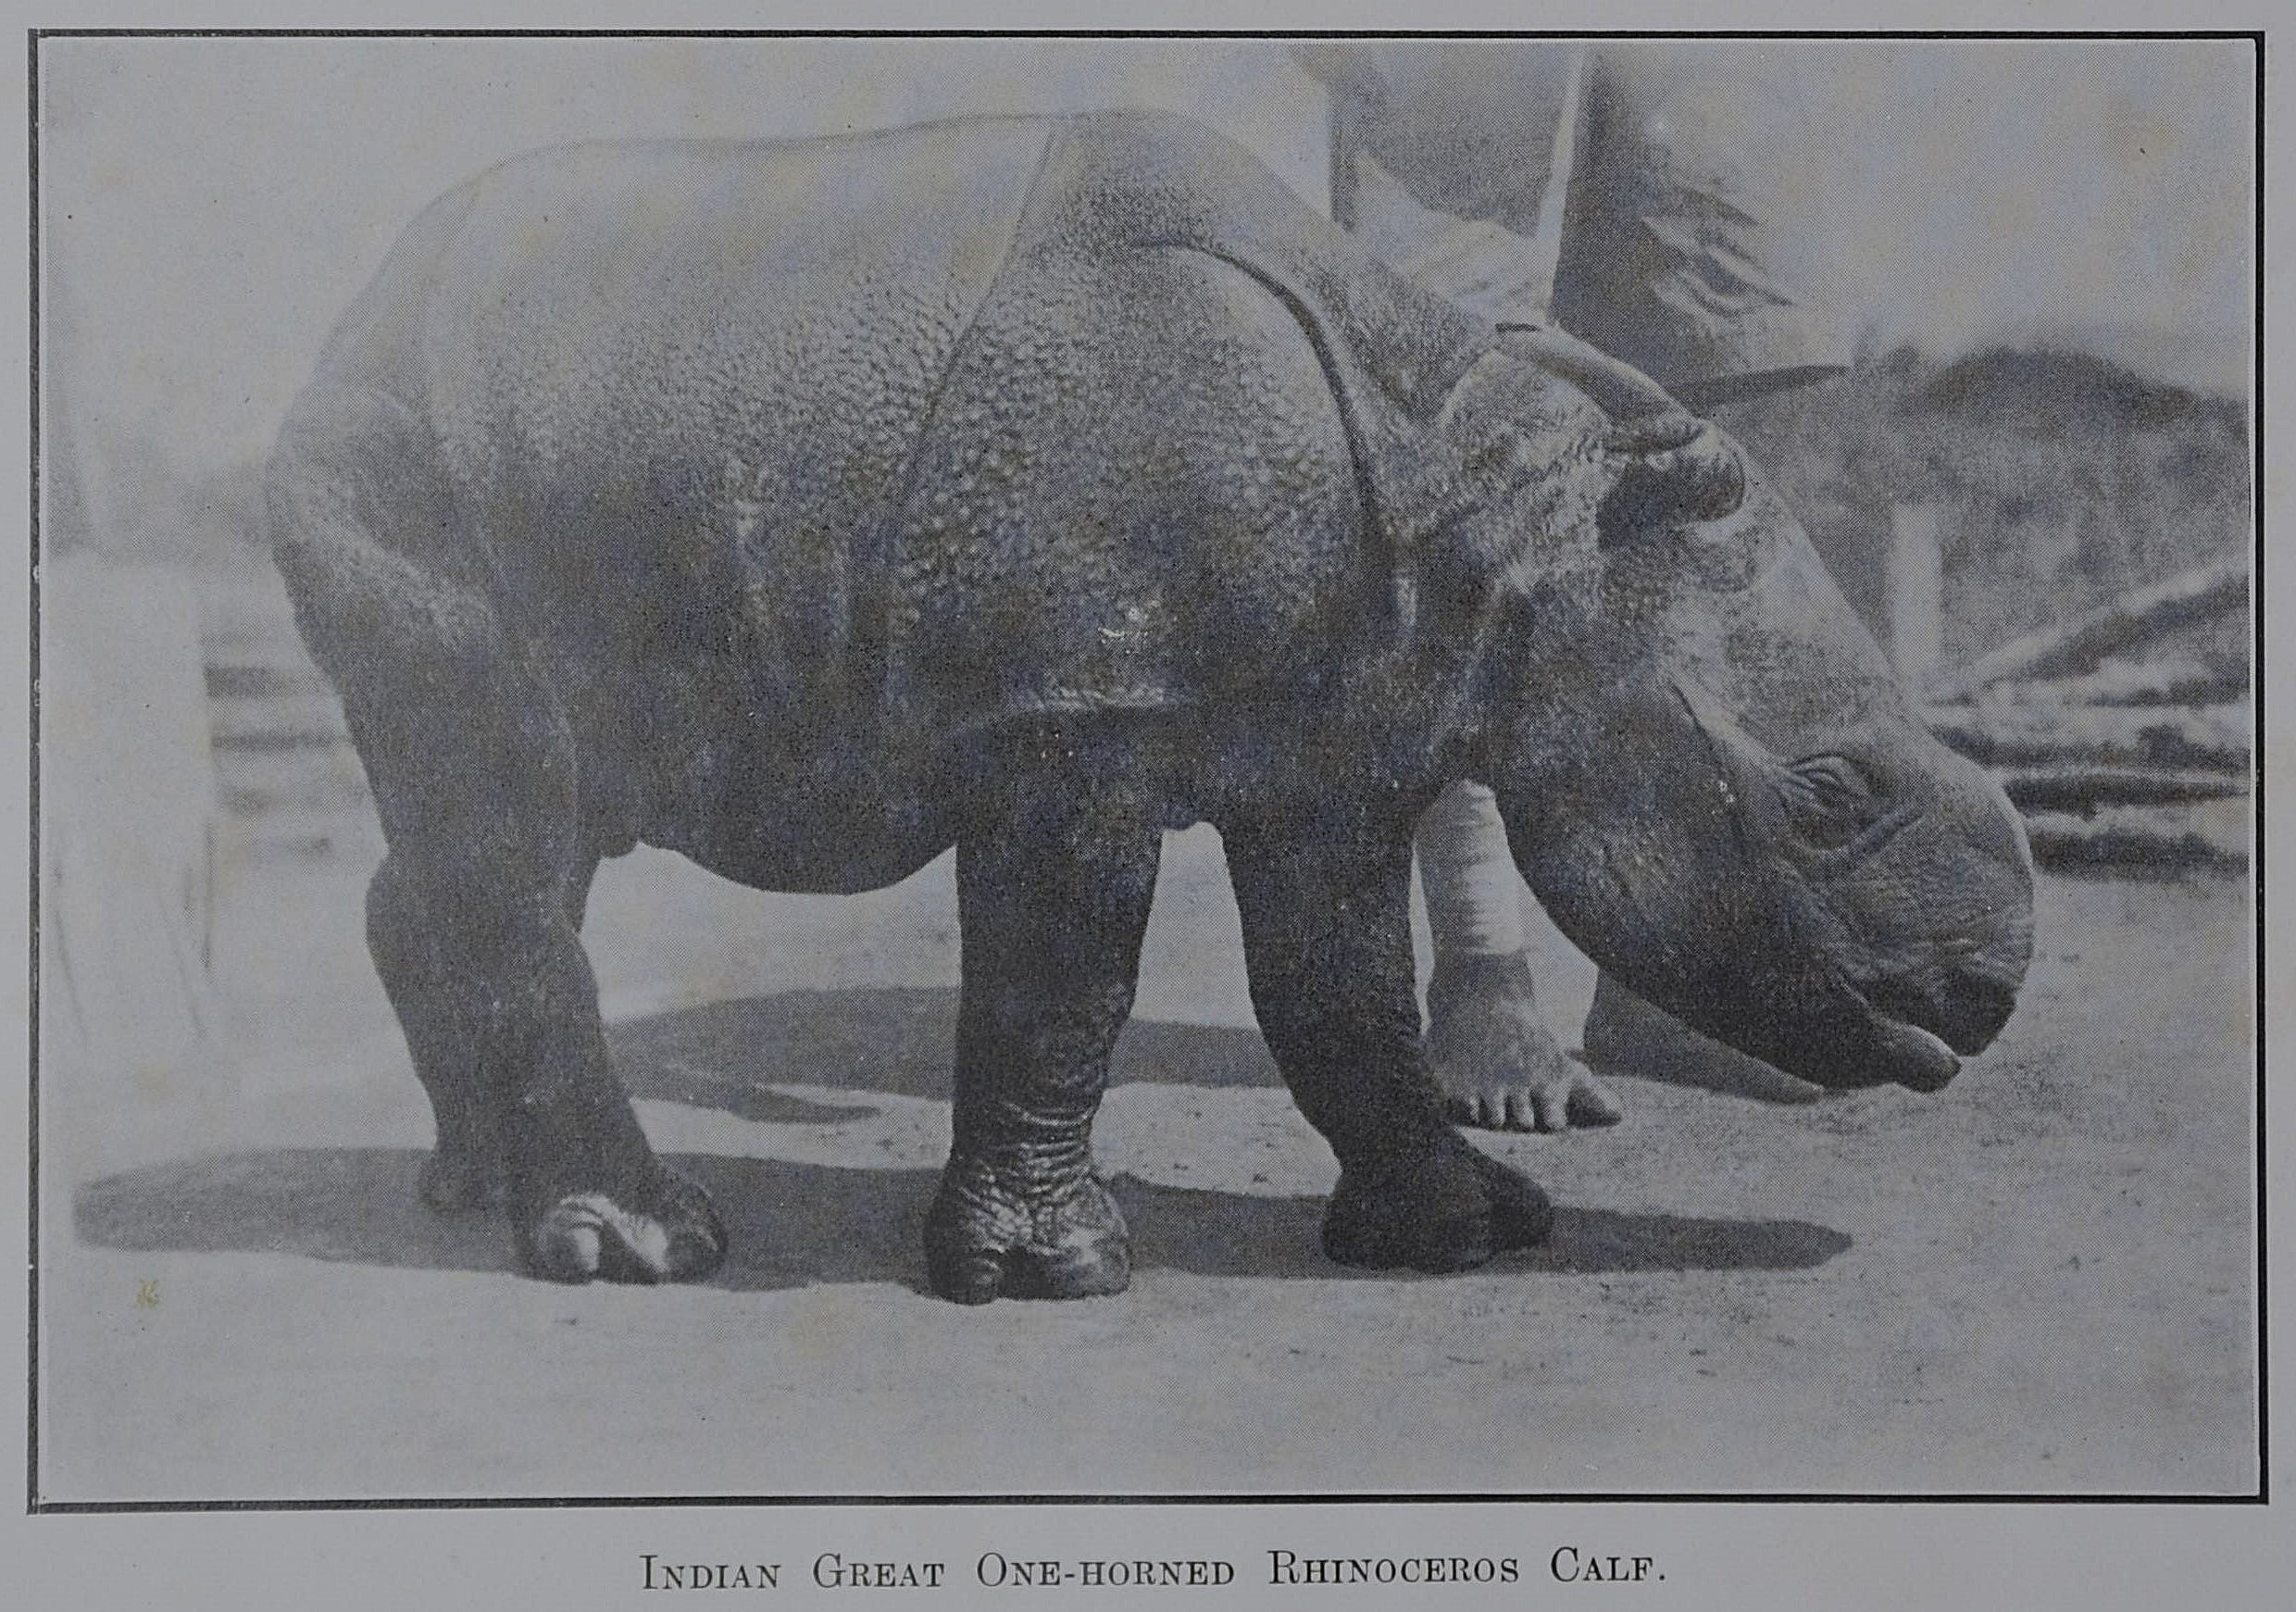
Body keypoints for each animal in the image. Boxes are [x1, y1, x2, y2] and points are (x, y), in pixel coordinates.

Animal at [267, 111, 2034, 1302]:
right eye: (1828, 797)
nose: (1989, 992)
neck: (1502, 512)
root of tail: (348, 316)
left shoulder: (1339, 736)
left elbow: (1340, 988)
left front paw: (1465, 1233)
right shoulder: (1070, 716)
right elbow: (1065, 984)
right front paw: (1049, 1279)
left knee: (516, 830)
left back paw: (468, 1192)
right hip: (394, 458)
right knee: (504, 815)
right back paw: (644, 1247)